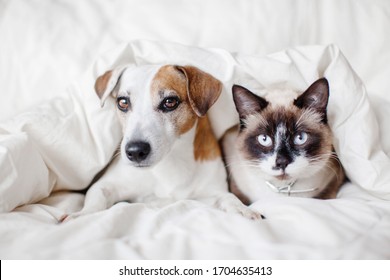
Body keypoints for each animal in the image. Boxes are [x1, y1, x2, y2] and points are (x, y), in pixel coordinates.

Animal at [61, 64, 260, 221]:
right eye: (123, 102)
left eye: (170, 102)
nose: (135, 151)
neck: (170, 164)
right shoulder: (106, 185)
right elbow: (96, 198)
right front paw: (82, 214)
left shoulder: (210, 192)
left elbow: (227, 197)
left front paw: (241, 208)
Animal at [221, 77, 346, 205]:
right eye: (264, 139)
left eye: (300, 137)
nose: (282, 162)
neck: (282, 189)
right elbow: (240, 198)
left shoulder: (335, 176)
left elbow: (324, 197)